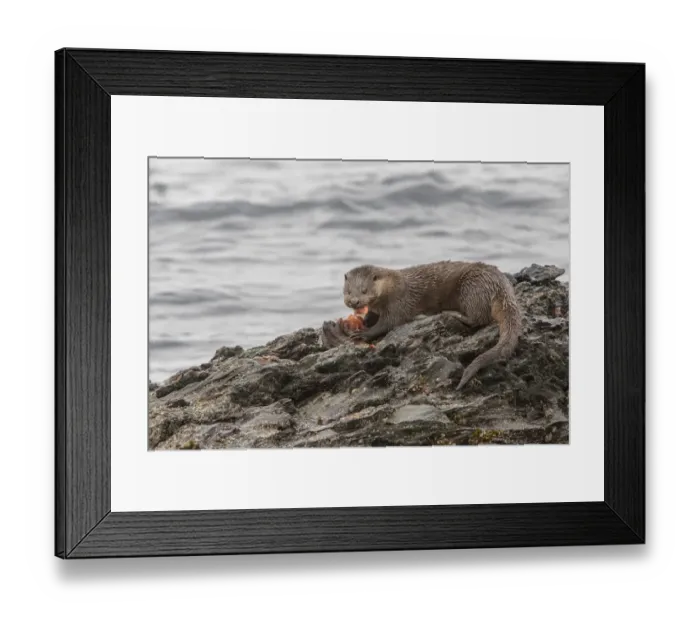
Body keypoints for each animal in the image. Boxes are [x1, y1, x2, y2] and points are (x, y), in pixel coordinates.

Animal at [343, 260, 522, 390]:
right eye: (348, 291)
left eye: (364, 290)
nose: (354, 301)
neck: (391, 286)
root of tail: (502, 287)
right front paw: (365, 321)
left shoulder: (399, 301)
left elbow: (389, 322)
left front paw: (364, 333)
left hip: (472, 288)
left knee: (479, 318)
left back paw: (451, 314)